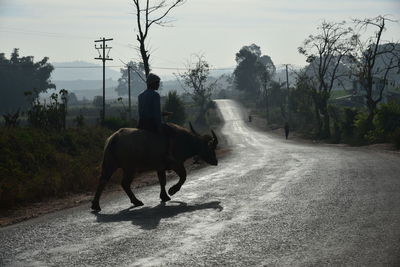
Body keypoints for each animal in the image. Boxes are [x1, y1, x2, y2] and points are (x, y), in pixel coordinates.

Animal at [91, 122, 219, 213]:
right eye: (211, 148)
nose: (216, 161)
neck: (185, 141)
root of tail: (114, 138)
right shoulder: (176, 164)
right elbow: (183, 176)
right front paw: (172, 191)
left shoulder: (160, 167)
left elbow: (162, 181)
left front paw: (164, 196)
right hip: (130, 168)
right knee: (124, 183)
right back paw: (136, 201)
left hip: (110, 164)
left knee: (103, 181)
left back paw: (96, 205)